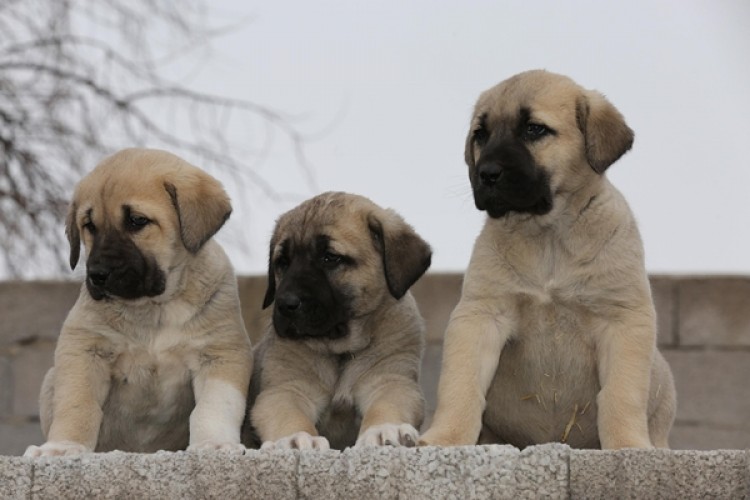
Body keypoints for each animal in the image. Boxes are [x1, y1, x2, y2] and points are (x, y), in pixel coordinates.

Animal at [24, 146, 253, 456]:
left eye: (137, 221)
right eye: (89, 226)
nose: (97, 274)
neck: (155, 308)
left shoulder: (219, 354)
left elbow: (214, 407)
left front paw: (213, 444)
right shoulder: (85, 349)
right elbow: (78, 405)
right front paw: (62, 446)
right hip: (51, 377)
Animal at [245, 190, 432, 450]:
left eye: (330, 257)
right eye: (282, 262)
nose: (285, 304)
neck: (340, 350)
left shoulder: (391, 380)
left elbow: (387, 406)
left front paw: (386, 429)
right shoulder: (285, 389)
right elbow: (289, 415)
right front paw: (294, 439)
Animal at [420, 70, 680, 450]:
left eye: (534, 129)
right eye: (480, 135)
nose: (487, 173)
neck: (548, 236)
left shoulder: (623, 318)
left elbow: (621, 393)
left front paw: (627, 445)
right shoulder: (480, 315)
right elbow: (461, 385)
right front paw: (447, 437)